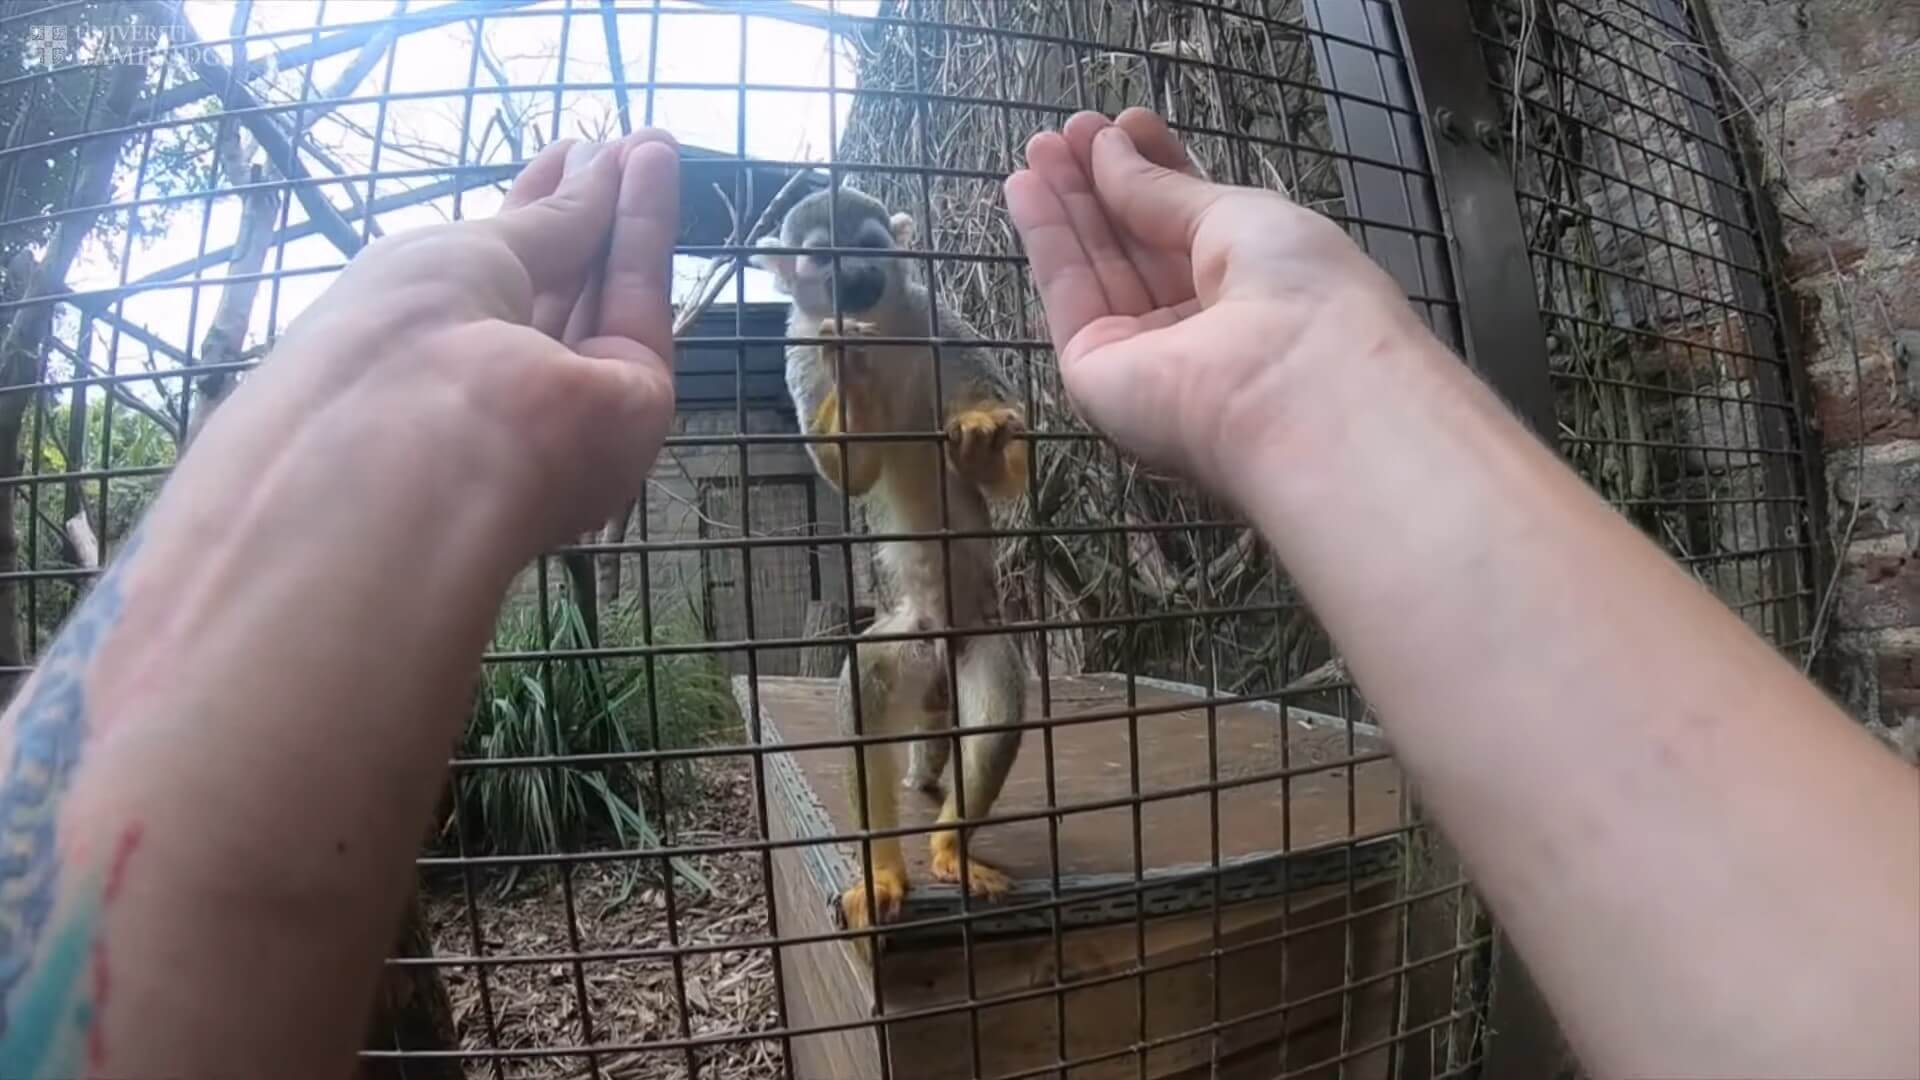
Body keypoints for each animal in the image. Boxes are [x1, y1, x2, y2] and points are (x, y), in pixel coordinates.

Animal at [752, 186, 1030, 940]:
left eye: (871, 246)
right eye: (824, 257)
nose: (858, 276)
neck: (881, 322)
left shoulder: (943, 320)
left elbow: (1011, 474)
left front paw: (981, 447)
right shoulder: (799, 350)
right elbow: (851, 473)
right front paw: (851, 374)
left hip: (975, 636)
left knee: (998, 711)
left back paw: (950, 847)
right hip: (910, 637)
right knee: (866, 690)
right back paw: (882, 870)